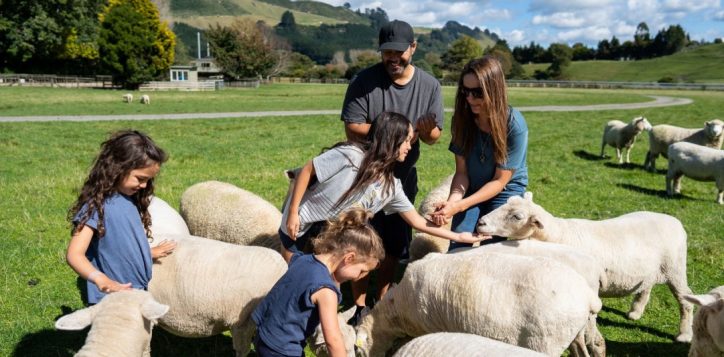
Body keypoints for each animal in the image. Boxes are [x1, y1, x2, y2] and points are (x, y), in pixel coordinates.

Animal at [476, 193, 696, 340]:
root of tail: (676, 222)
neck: (558, 234)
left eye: (517, 217)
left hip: (675, 268)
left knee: (685, 299)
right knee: (645, 287)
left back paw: (684, 334)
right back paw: (635, 313)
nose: (481, 223)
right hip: (651, 269)